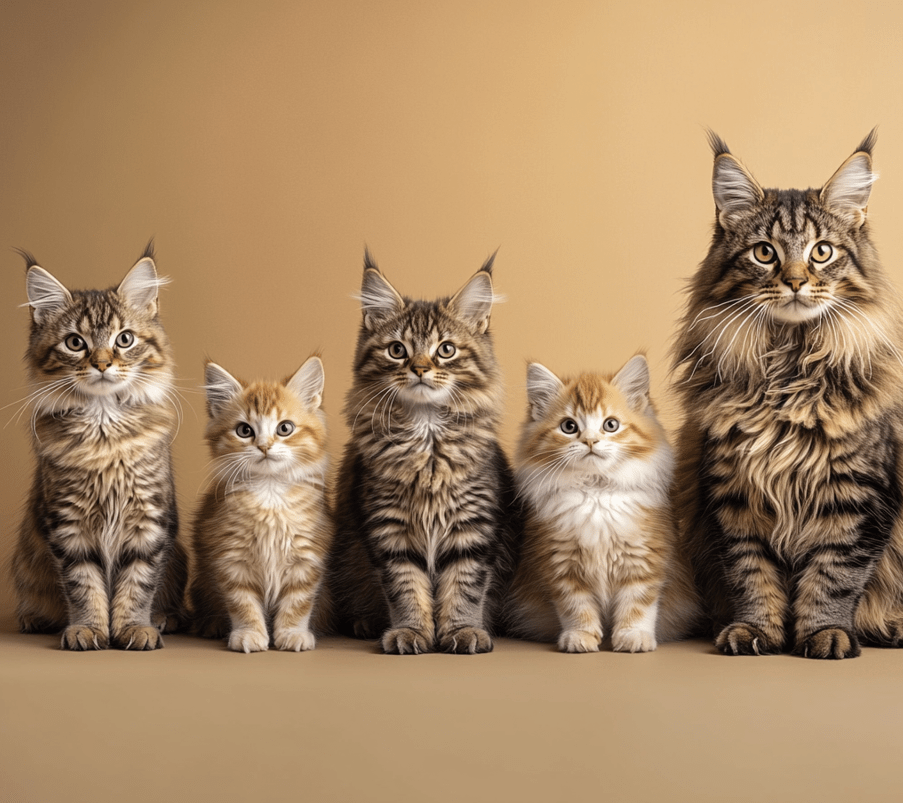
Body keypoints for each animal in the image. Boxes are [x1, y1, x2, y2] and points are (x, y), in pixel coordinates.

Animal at [12, 242, 186, 652]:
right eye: (75, 342)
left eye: (124, 339)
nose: (103, 364)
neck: (105, 434)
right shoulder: (68, 525)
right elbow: (83, 586)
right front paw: (88, 628)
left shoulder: (149, 522)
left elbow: (137, 585)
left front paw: (134, 628)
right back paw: (33, 619)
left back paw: (164, 618)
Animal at [188, 358, 332, 652]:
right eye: (244, 430)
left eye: (285, 428)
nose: (264, 446)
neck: (270, 491)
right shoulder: (231, 556)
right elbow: (242, 603)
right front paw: (249, 634)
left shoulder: (306, 556)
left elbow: (298, 602)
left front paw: (292, 634)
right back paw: (211, 625)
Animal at [328, 251, 520, 652]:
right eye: (396, 350)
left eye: (445, 350)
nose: (419, 368)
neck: (427, 439)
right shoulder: (390, 530)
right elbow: (405, 588)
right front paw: (412, 631)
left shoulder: (472, 529)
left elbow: (464, 588)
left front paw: (462, 631)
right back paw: (365, 623)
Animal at [504, 358, 704, 652]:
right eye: (569, 426)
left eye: (610, 425)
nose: (589, 441)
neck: (595, 492)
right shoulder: (561, 565)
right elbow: (576, 608)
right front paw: (580, 637)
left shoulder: (643, 561)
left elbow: (637, 606)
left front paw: (633, 637)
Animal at [676, 132, 903, 660]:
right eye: (764, 253)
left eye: (822, 252)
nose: (797, 281)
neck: (789, 371)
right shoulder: (732, 497)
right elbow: (751, 575)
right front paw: (755, 631)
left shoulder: (857, 499)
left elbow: (834, 576)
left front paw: (825, 634)